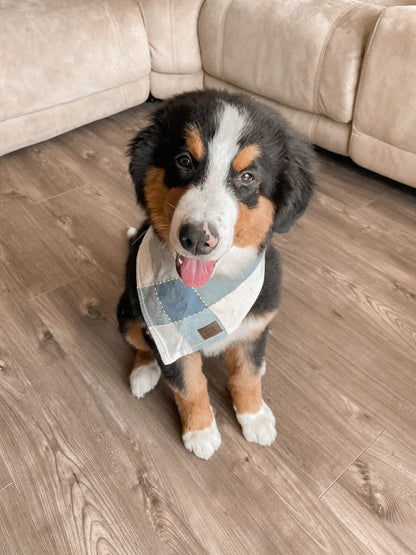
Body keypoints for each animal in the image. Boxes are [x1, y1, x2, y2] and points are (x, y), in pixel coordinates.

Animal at [115, 89, 314, 458]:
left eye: (247, 177)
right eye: (183, 161)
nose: (196, 238)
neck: (210, 293)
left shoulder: (255, 321)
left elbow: (247, 377)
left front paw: (254, 416)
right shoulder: (170, 340)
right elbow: (189, 384)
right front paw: (200, 431)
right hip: (127, 311)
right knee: (141, 343)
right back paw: (144, 371)